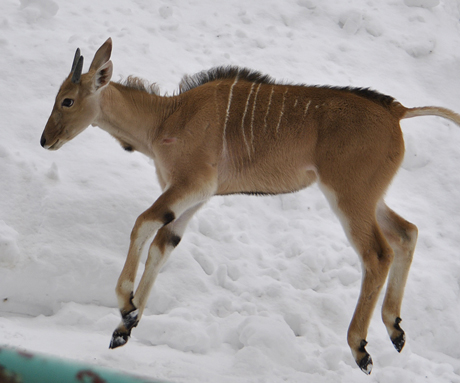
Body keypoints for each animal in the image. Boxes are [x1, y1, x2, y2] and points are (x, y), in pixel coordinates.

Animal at [40, 39, 460, 376]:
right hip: (372, 198)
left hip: (349, 197)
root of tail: (397, 110)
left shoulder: (192, 185)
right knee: (406, 233)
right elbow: (163, 245)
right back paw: (395, 329)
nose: (45, 140)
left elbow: (143, 223)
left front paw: (125, 305)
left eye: (67, 100)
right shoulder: (194, 199)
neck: (167, 116)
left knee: (377, 253)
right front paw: (125, 326)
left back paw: (360, 347)